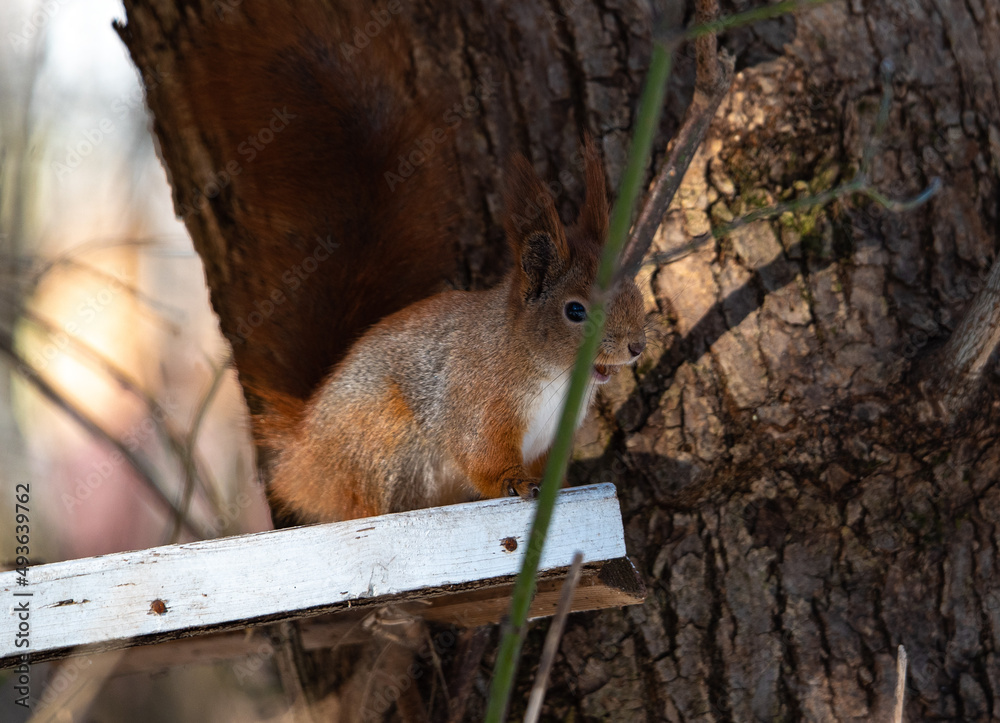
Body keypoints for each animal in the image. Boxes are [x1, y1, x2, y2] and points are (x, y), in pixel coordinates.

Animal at [179, 2, 647, 524]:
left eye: (635, 292)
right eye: (575, 310)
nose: (636, 347)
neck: (549, 374)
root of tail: (303, 455)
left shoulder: (548, 442)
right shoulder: (479, 404)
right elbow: (483, 457)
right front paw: (513, 484)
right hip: (381, 446)